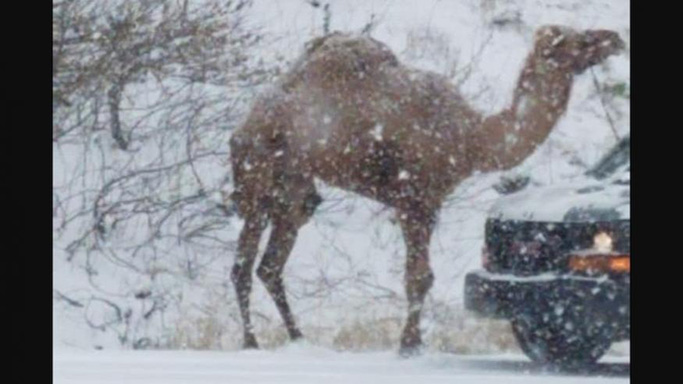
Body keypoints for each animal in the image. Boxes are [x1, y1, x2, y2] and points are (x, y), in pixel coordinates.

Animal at [228, 25, 624, 354]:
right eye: (579, 39)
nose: (616, 39)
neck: (472, 138)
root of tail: (244, 123)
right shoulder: (415, 198)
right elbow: (419, 277)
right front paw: (409, 345)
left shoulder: (431, 201)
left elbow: (424, 277)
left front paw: (413, 342)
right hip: (257, 171)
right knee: (243, 264)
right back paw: (251, 342)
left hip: (295, 190)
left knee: (271, 264)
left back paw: (298, 338)